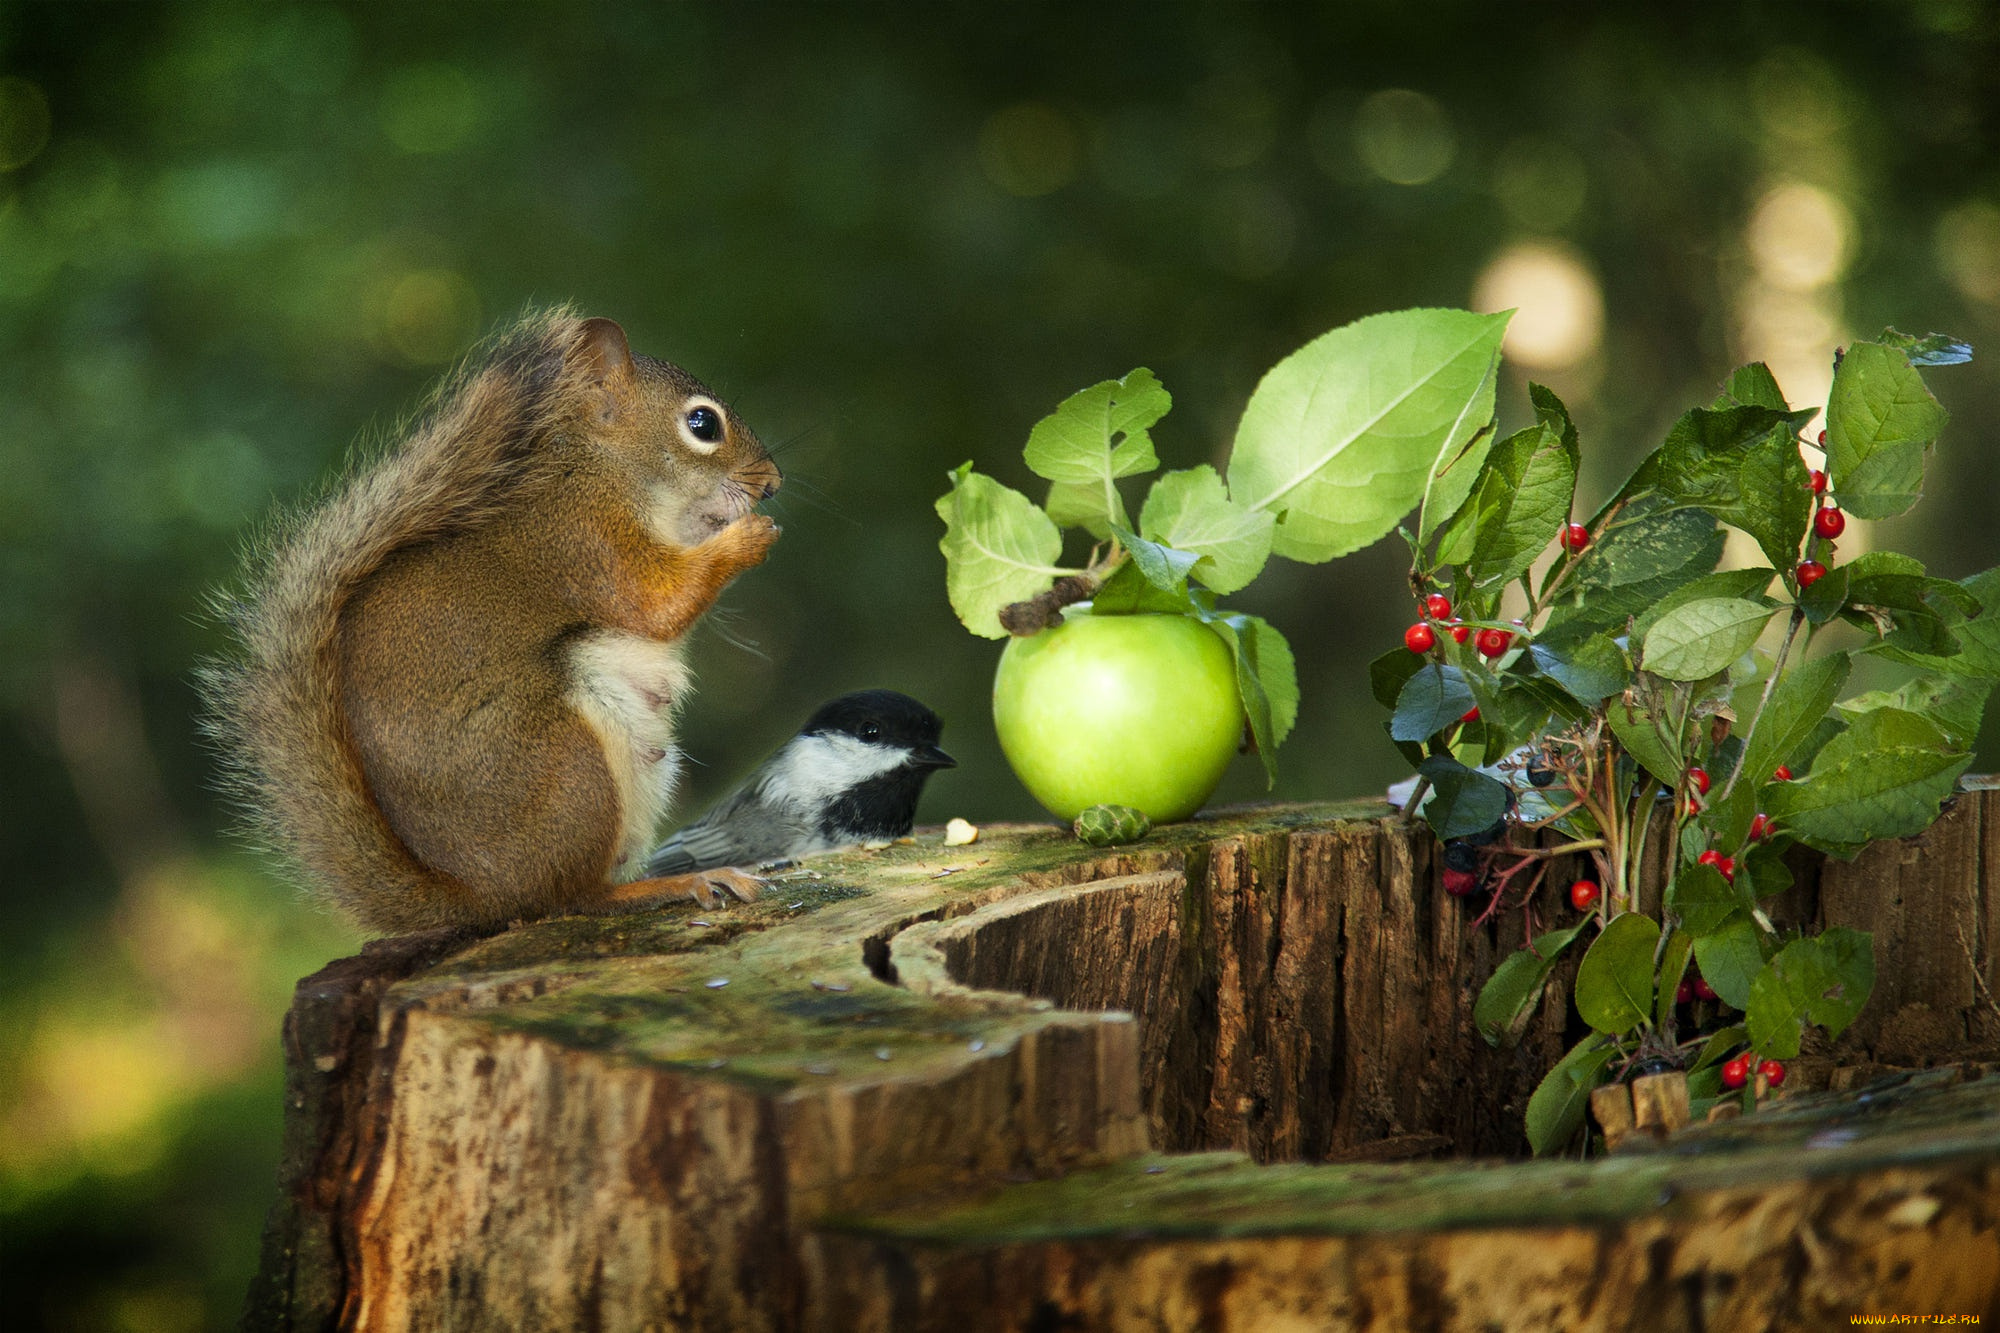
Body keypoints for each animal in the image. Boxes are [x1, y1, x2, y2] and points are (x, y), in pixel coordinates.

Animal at [205, 312, 780, 932]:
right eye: (702, 423)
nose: (772, 483)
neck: (605, 470)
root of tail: (481, 894)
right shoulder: (584, 542)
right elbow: (655, 603)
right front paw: (748, 537)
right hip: (565, 767)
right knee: (570, 897)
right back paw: (671, 884)